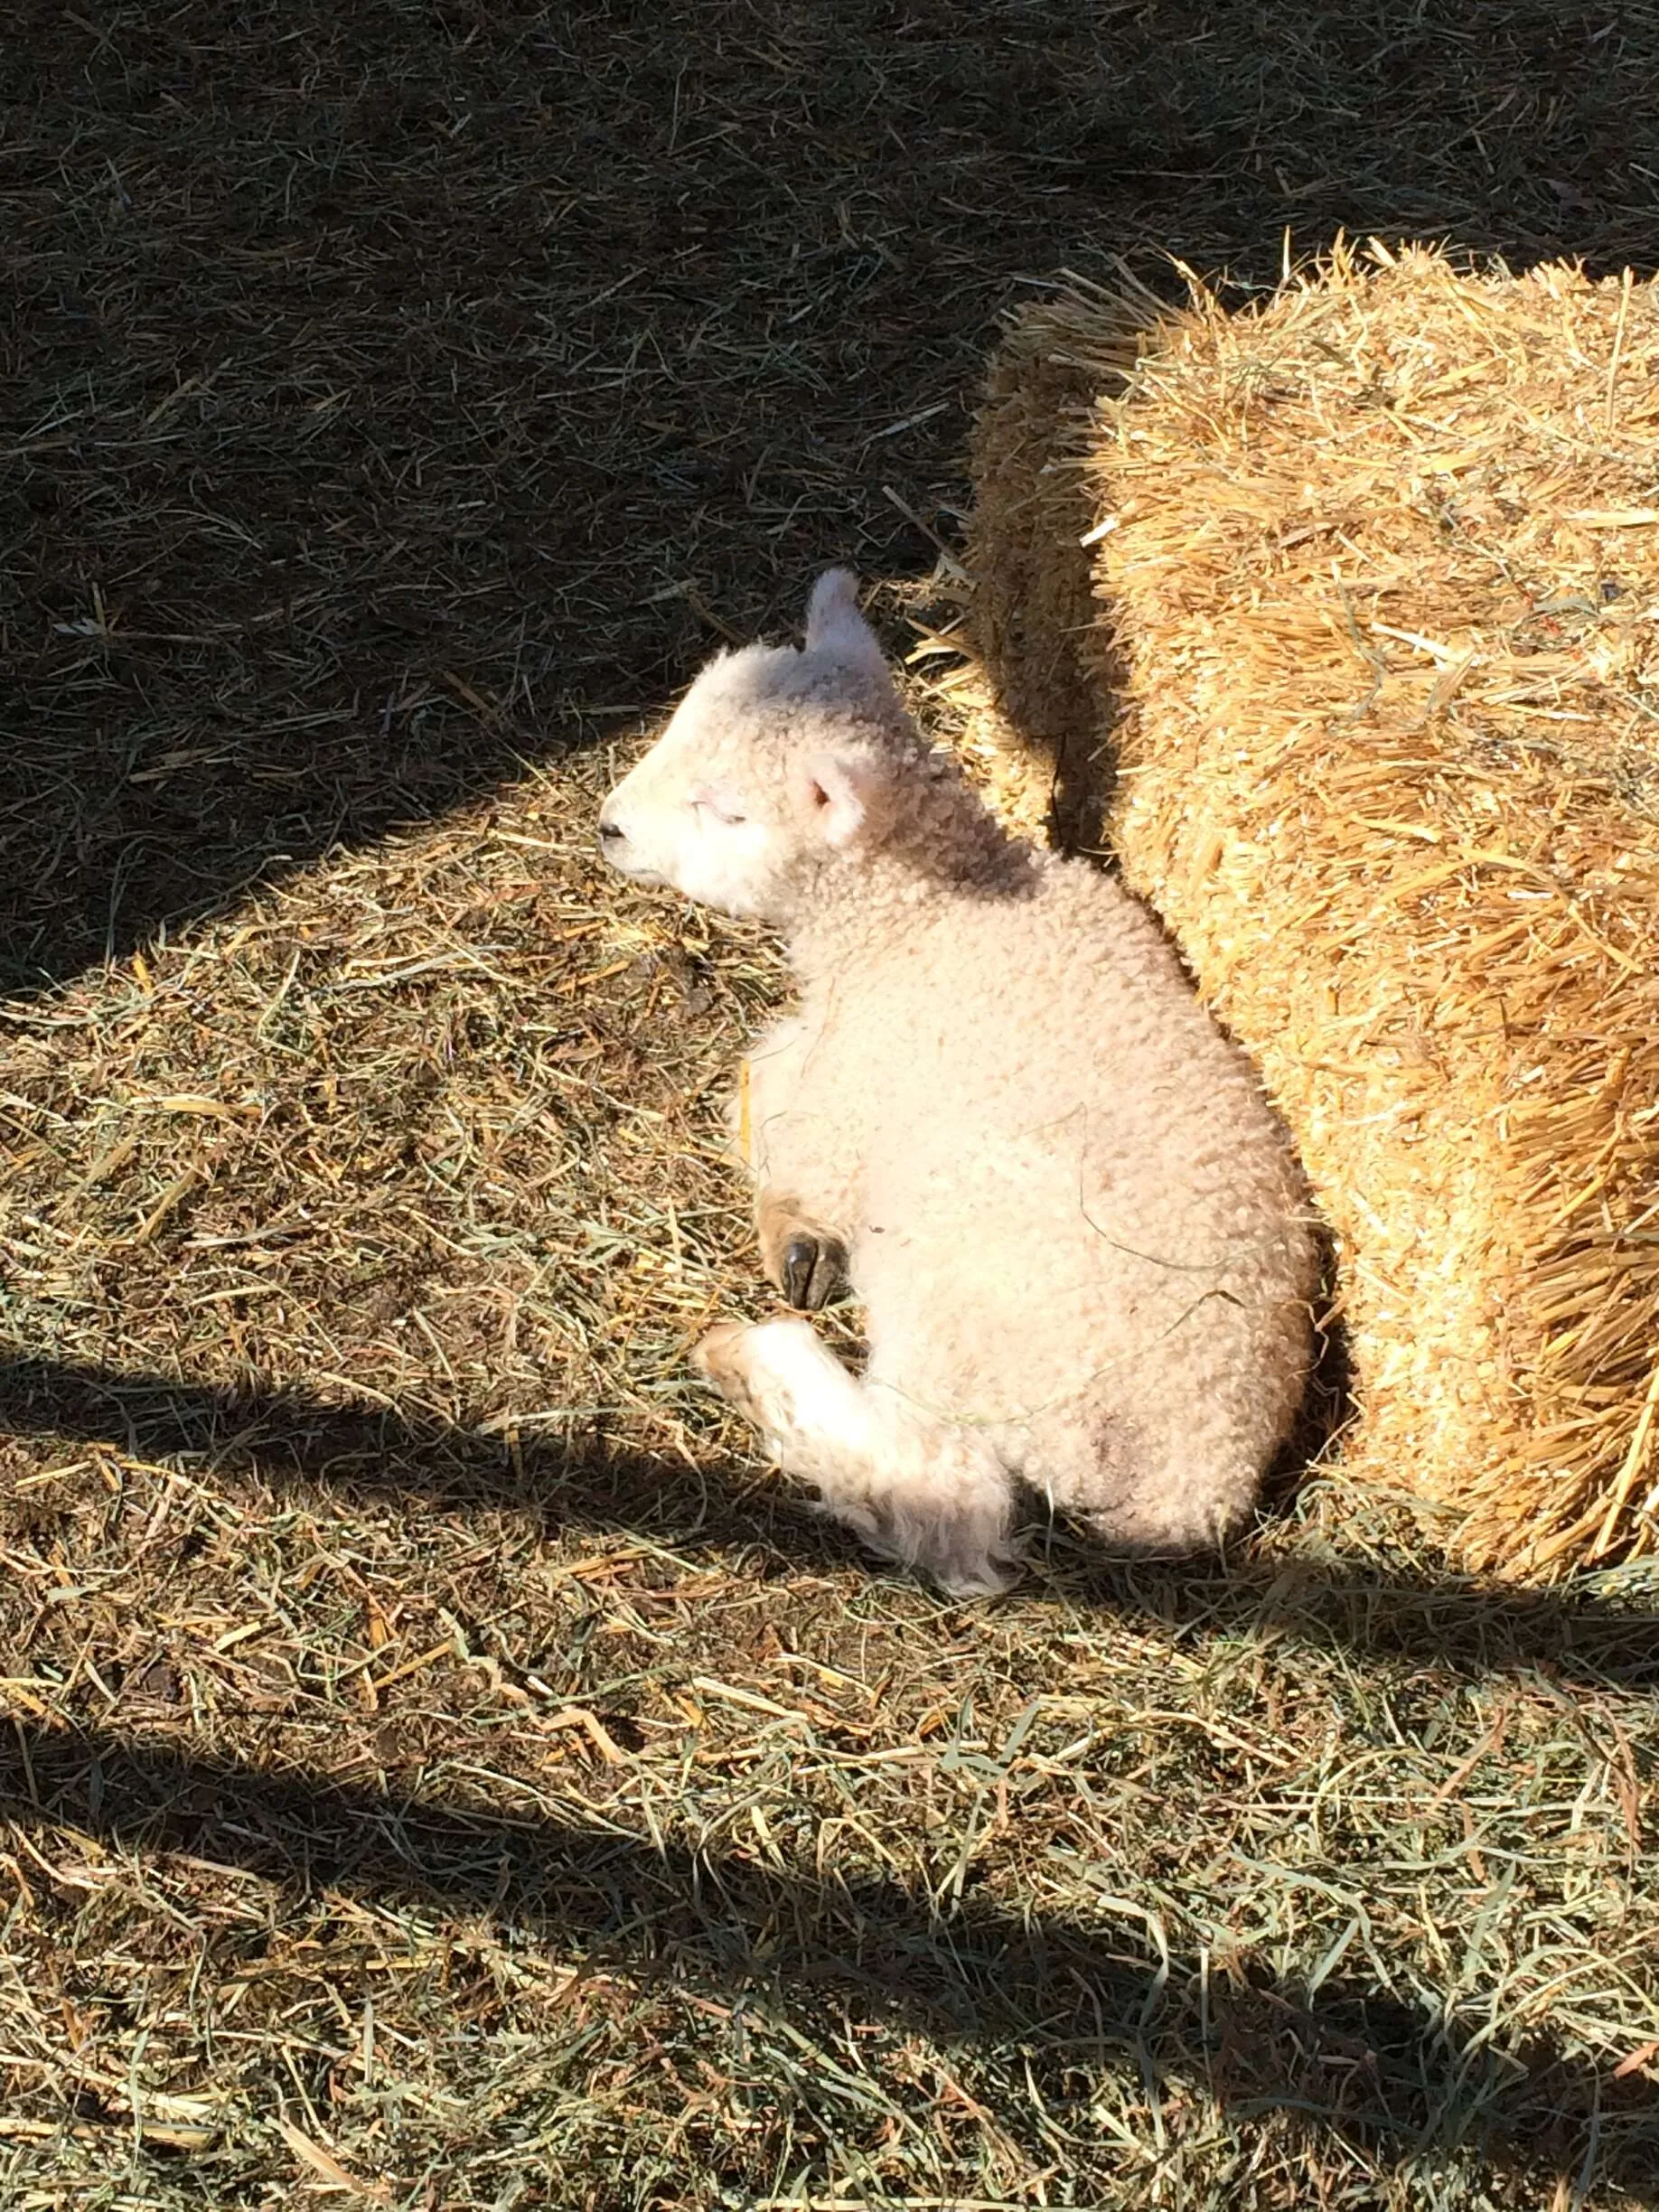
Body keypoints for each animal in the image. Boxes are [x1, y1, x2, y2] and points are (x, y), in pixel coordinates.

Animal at [598, 570, 1318, 1595]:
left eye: (728, 812)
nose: (609, 827)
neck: (921, 913)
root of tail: (1187, 1482)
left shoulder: (836, 1096)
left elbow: (768, 1118)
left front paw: (790, 1239)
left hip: (960, 1323)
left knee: (941, 1498)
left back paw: (756, 1360)